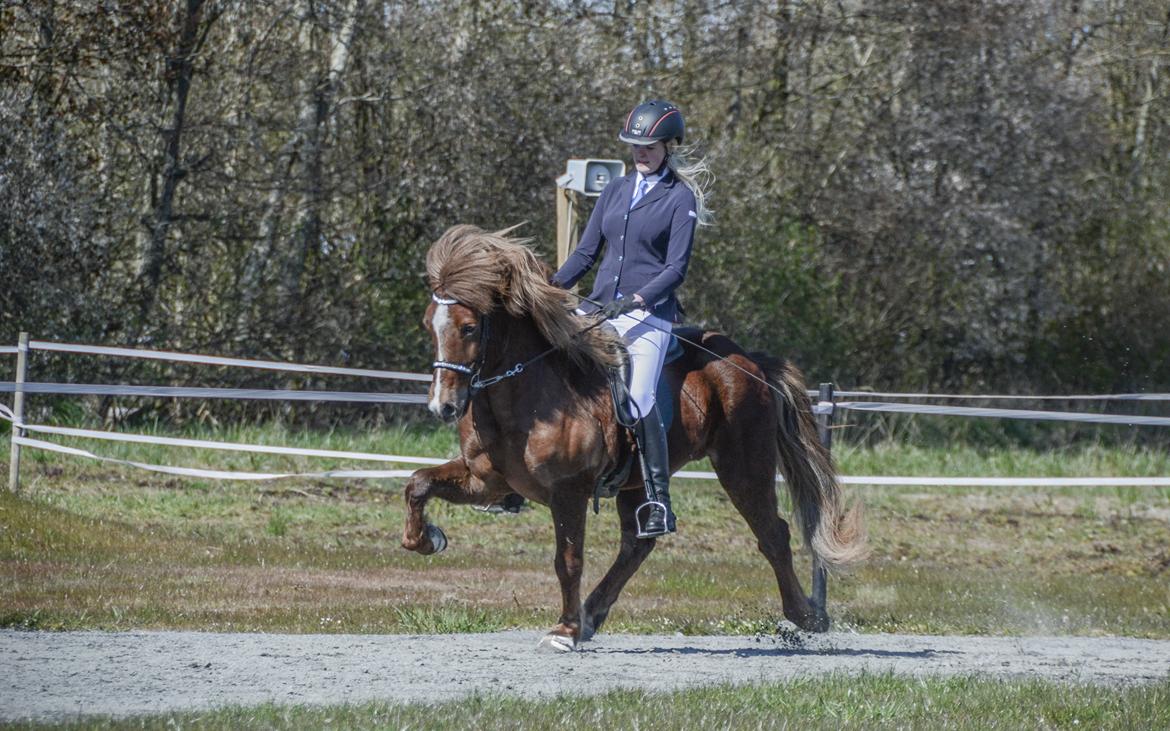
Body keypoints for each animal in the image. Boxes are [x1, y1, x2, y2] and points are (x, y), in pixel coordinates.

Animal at [404, 223, 870, 650]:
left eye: (468, 328)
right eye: (428, 324)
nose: (444, 406)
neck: (524, 395)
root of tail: (747, 361)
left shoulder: (568, 490)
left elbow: (568, 559)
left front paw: (564, 630)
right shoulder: (487, 481)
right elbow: (417, 483)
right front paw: (427, 539)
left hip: (743, 469)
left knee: (773, 535)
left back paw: (805, 618)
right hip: (636, 482)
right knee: (638, 544)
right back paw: (593, 614)